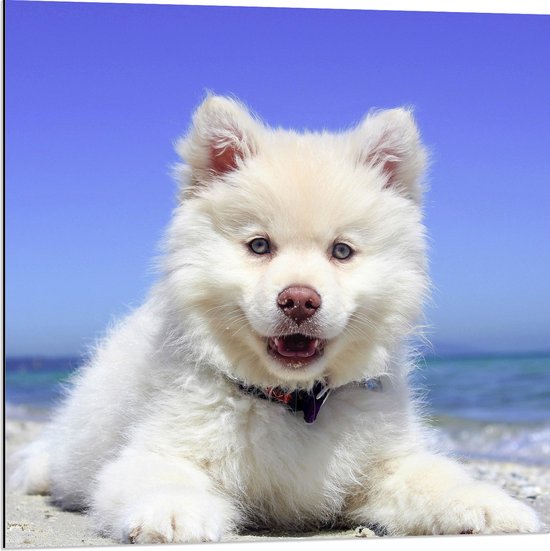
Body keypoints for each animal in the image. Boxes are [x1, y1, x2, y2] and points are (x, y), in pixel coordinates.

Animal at [11, 96, 544, 544]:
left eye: (341, 251)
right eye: (259, 245)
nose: (300, 300)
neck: (293, 402)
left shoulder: (384, 464)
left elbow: (435, 478)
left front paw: (490, 506)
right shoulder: (159, 447)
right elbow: (160, 475)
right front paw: (174, 512)